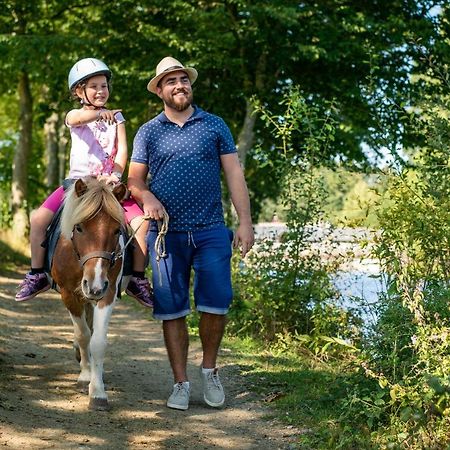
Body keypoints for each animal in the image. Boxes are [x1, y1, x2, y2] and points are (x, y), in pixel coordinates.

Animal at [51, 178, 127, 410]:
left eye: (117, 231)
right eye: (79, 227)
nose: (95, 285)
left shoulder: (108, 292)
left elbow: (98, 340)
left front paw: (98, 392)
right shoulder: (69, 294)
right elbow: (83, 335)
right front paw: (86, 376)